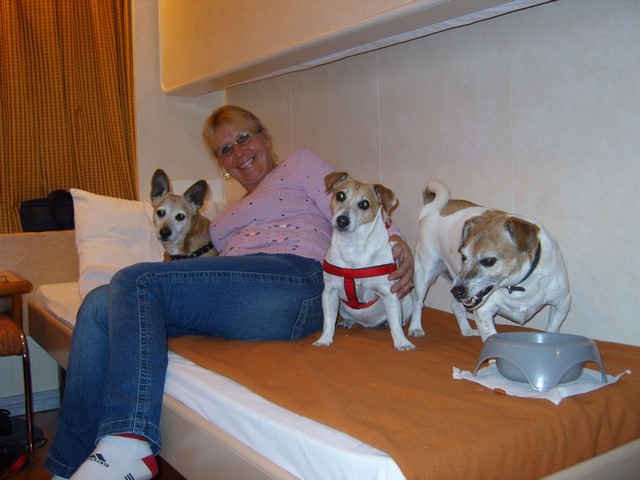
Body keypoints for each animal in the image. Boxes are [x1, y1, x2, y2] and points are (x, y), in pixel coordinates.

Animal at [314, 172, 416, 348]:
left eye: (364, 204)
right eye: (340, 195)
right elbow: (328, 321)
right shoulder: (329, 292)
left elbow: (395, 322)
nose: (342, 220)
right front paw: (325, 339)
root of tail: (368, 325)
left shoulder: (389, 293)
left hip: (406, 300)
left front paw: (401, 342)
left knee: (399, 319)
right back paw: (347, 322)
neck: (353, 246)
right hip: (342, 307)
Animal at [412, 180, 572, 342]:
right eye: (463, 256)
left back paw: (466, 330)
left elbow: (552, 330)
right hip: (425, 273)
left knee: (455, 306)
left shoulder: (561, 304)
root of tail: (433, 209)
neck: (520, 285)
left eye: (489, 261)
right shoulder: (484, 312)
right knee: (418, 301)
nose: (457, 291)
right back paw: (416, 328)